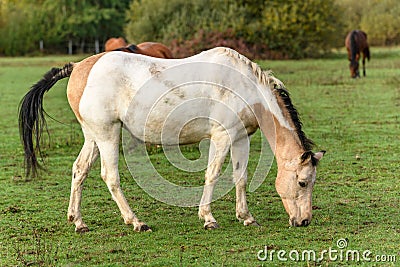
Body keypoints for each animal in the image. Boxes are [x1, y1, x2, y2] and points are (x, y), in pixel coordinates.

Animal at [19, 47, 324, 233]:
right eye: (302, 182)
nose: (304, 221)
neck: (245, 86)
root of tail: (80, 67)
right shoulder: (222, 137)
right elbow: (213, 174)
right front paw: (208, 218)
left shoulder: (240, 139)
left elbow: (241, 177)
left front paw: (246, 217)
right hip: (107, 134)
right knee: (110, 176)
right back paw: (136, 222)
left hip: (93, 137)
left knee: (79, 170)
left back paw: (78, 222)